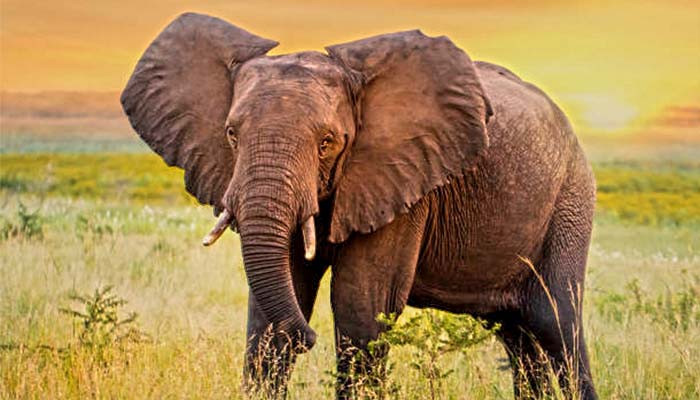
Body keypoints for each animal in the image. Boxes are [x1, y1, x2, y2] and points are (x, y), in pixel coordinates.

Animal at [121, 13, 597, 399]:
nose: (308, 338)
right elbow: (273, 308)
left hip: (570, 203)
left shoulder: (404, 179)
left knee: (556, 323)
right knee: (518, 337)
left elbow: (360, 305)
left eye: (327, 143)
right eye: (232, 135)